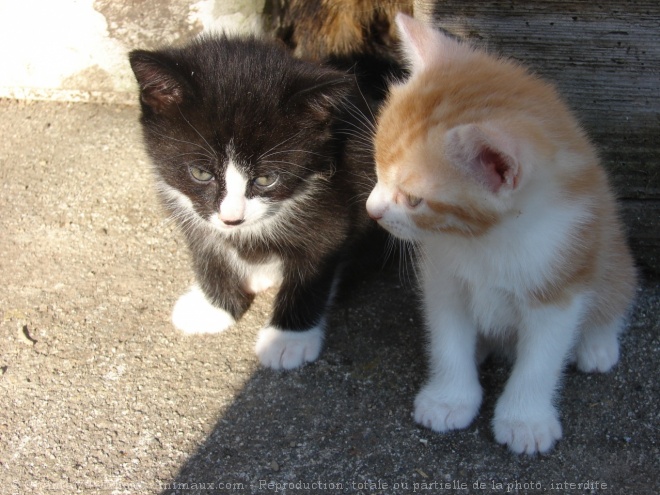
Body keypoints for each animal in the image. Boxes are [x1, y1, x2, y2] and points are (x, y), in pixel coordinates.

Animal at [130, 35, 376, 368]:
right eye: (200, 173)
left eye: (266, 179)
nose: (232, 218)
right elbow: (208, 251)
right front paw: (214, 308)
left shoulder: (334, 201)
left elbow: (315, 262)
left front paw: (288, 339)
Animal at [364, 14, 636, 458]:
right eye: (377, 168)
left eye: (414, 199)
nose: (372, 210)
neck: (487, 239)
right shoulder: (443, 279)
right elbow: (447, 339)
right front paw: (450, 398)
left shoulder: (559, 285)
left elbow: (540, 361)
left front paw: (525, 419)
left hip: (611, 250)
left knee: (615, 294)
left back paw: (597, 345)